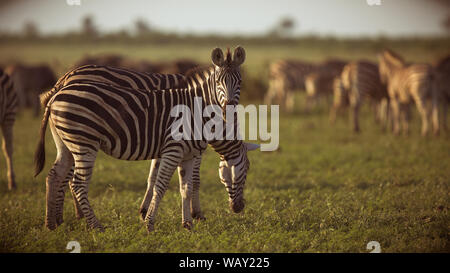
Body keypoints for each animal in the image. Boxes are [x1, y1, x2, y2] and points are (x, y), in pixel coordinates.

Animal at [33, 47, 255, 232]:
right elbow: (176, 183)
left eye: (240, 83)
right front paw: (184, 217)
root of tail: (60, 87)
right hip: (84, 143)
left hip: (66, 143)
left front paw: (179, 221)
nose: (239, 207)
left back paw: (52, 223)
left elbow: (173, 183)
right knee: (77, 182)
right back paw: (94, 225)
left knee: (55, 175)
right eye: (247, 169)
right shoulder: (177, 149)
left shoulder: (173, 150)